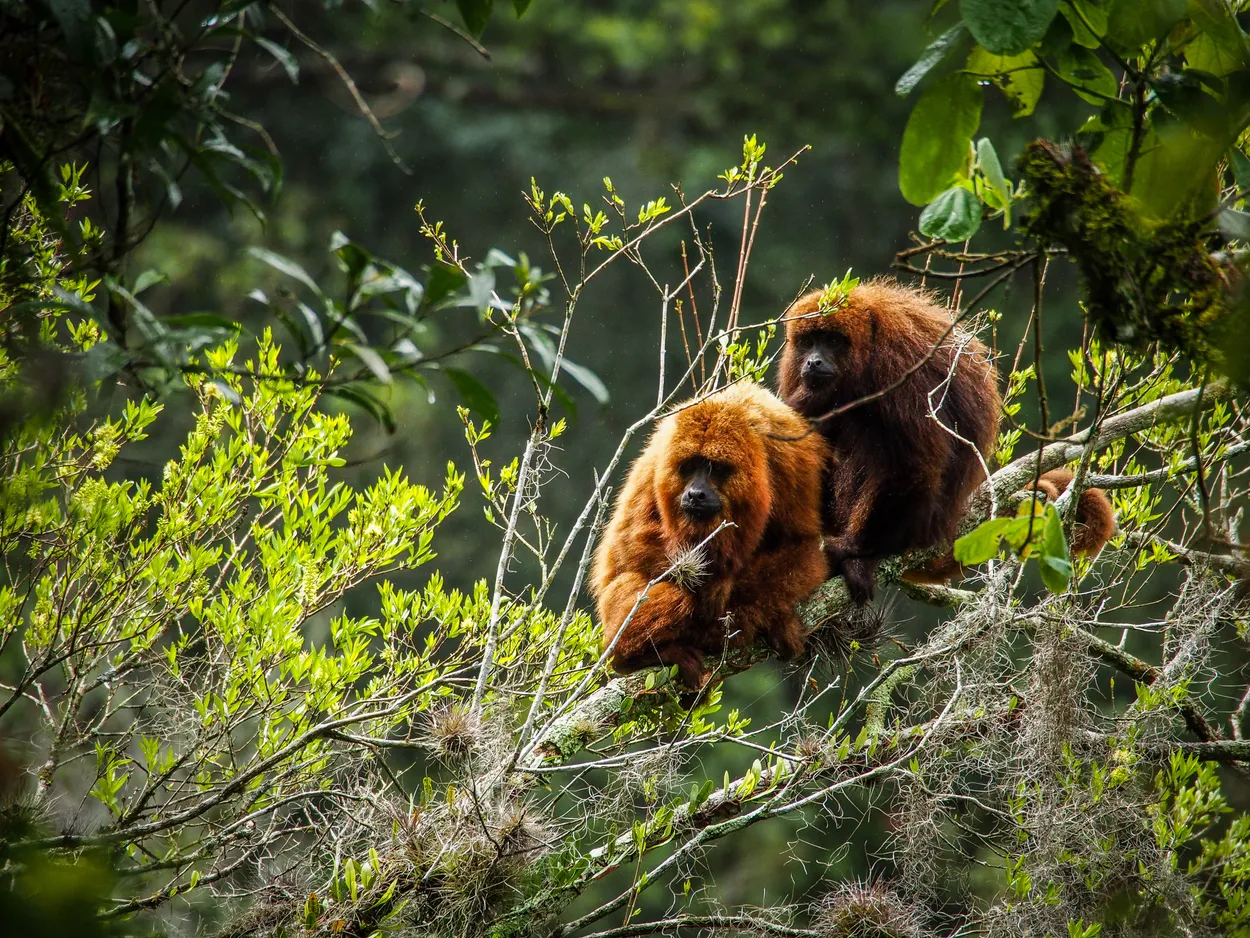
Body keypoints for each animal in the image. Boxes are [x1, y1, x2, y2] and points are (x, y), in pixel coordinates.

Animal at [590, 382, 829, 689]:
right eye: (690, 466)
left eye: (714, 468)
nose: (695, 493)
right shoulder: (655, 461)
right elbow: (628, 543)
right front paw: (710, 589)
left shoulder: (792, 462)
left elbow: (803, 548)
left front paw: (728, 602)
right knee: (667, 593)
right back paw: (640, 656)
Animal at [777, 278, 1002, 604]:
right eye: (808, 342)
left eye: (832, 340)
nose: (814, 362)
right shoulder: (792, 368)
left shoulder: (898, 362)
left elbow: (915, 465)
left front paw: (855, 550)